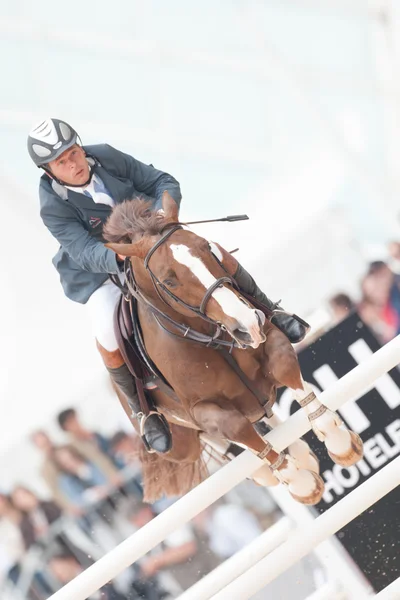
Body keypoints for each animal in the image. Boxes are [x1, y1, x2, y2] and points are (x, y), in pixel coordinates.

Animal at [102, 195, 362, 504]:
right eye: (168, 281)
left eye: (206, 248)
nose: (247, 325)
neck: (207, 335)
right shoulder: (200, 410)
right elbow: (235, 428)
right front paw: (301, 483)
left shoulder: (271, 339)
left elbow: (285, 366)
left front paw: (339, 442)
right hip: (181, 445)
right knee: (223, 442)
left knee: (268, 420)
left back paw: (301, 453)